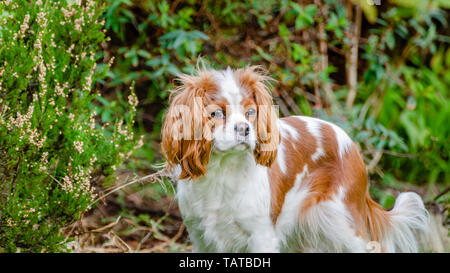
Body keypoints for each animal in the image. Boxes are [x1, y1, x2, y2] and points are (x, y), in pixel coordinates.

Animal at [161, 66, 428, 253]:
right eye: (216, 113)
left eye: (250, 112)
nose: (245, 129)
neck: (223, 170)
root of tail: (351, 145)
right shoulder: (201, 236)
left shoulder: (261, 236)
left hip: (341, 219)